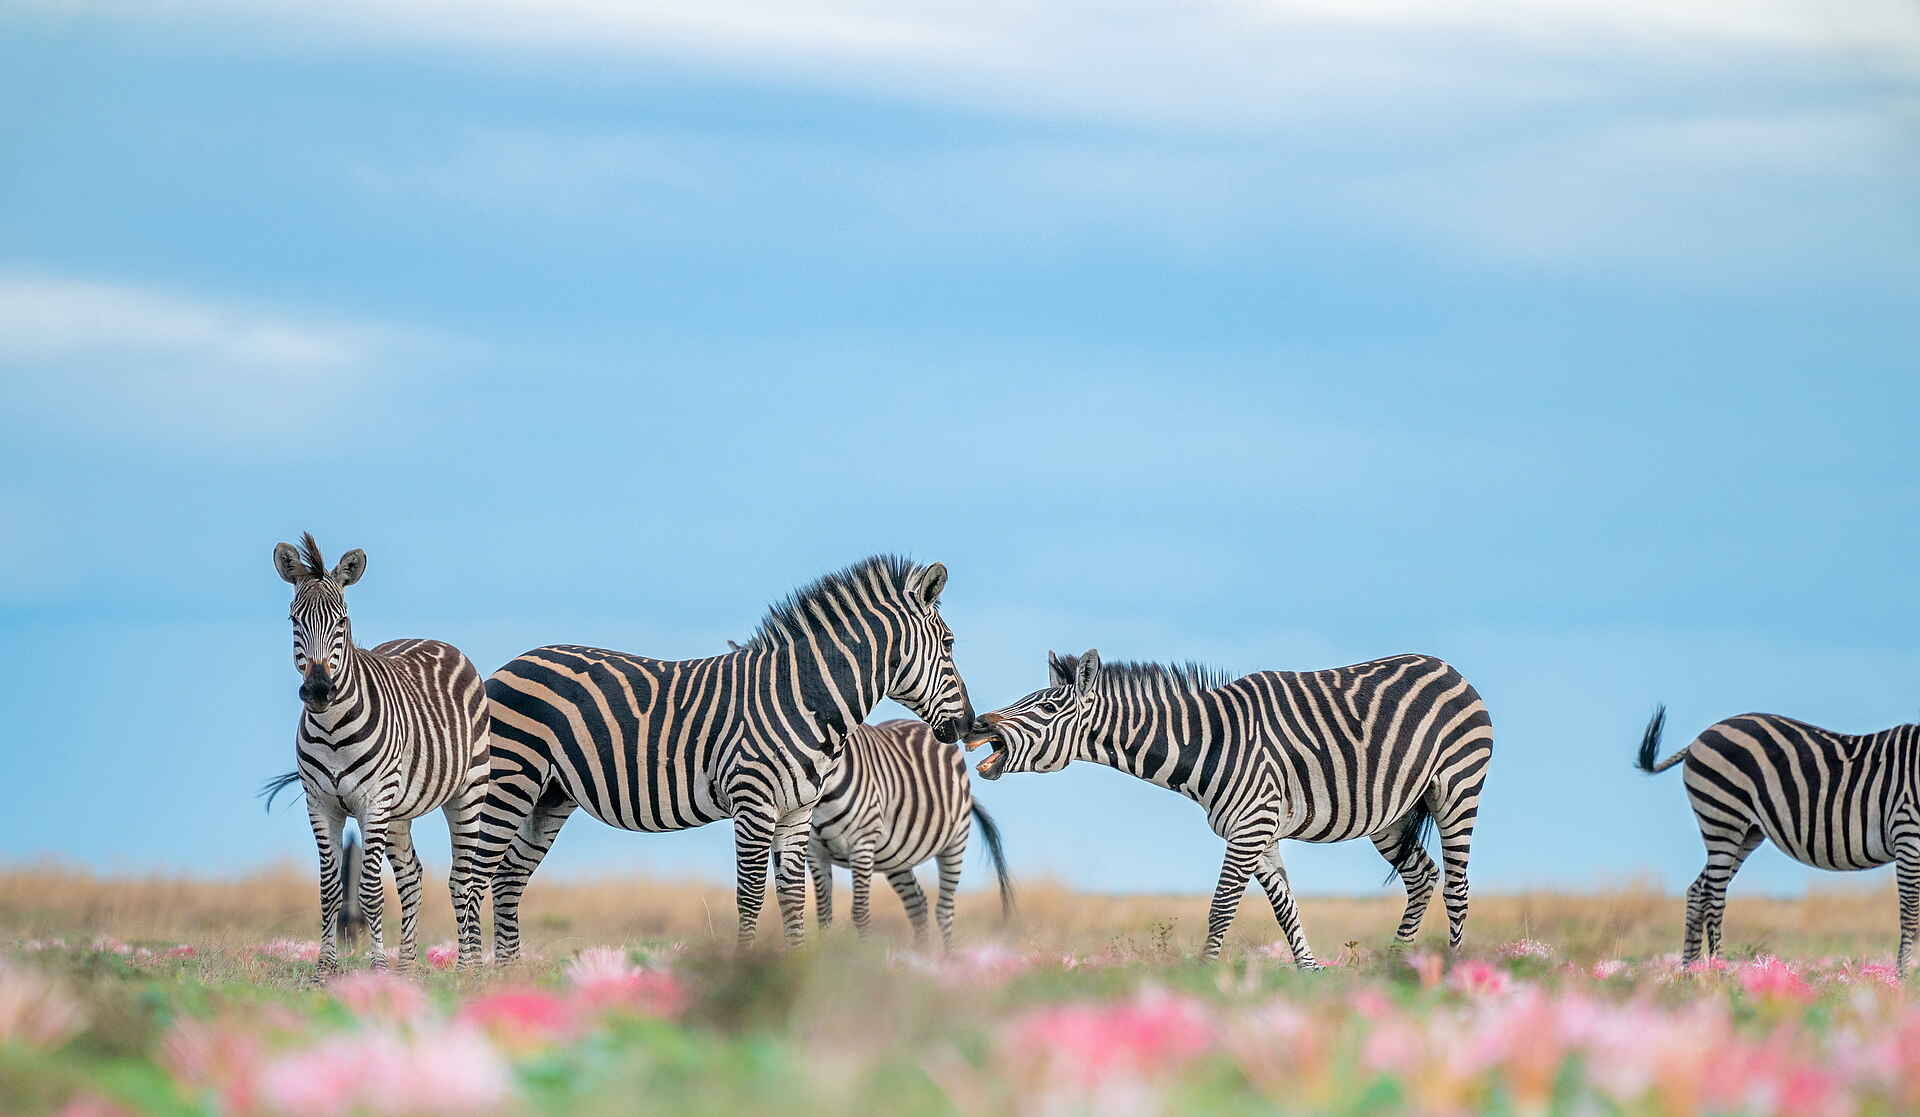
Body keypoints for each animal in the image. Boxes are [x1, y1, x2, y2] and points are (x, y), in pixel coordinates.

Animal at [270, 534, 491, 974]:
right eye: (293, 620)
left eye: (342, 621)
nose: (318, 691)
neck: (333, 730)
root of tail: (436, 640)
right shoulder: (321, 804)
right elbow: (329, 890)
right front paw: (325, 970)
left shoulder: (373, 802)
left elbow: (370, 891)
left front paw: (378, 969)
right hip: (399, 810)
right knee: (412, 876)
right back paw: (407, 966)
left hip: (468, 790)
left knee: (465, 878)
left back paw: (467, 967)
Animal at [481, 555, 973, 959]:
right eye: (949, 644)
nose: (967, 726)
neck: (800, 696)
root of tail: (512, 663)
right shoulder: (754, 803)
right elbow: (751, 895)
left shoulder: (796, 813)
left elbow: (793, 897)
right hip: (510, 781)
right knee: (475, 871)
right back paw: (473, 974)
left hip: (550, 796)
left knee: (507, 879)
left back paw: (508, 975)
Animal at [966, 649, 1493, 964]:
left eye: (1047, 708)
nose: (976, 724)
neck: (1209, 742)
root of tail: (1447, 667)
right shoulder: (1258, 830)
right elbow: (1285, 908)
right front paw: (1312, 973)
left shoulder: (1252, 823)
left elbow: (1222, 907)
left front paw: (1205, 976)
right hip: (1392, 813)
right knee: (1422, 876)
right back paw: (1396, 962)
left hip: (1457, 789)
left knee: (1458, 887)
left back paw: (1449, 972)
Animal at [1638, 706, 1920, 973]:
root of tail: (1704, 733)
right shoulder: (1907, 831)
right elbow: (1911, 915)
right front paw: (1903, 979)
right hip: (1724, 819)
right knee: (1713, 896)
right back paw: (1717, 974)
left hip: (1746, 832)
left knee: (1697, 890)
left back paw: (1691, 976)